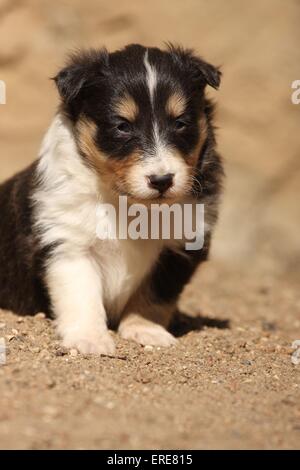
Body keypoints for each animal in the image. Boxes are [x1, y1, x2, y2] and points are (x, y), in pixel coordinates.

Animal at [0, 44, 223, 354]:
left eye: (180, 123)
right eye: (122, 126)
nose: (162, 180)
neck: (130, 204)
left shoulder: (180, 247)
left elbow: (155, 295)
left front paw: (145, 330)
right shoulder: (68, 244)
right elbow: (82, 294)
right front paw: (90, 339)